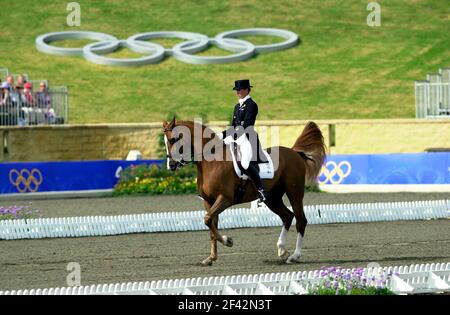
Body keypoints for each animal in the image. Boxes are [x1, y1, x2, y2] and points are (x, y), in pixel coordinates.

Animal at [163, 118, 326, 266]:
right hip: (272, 198)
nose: (171, 165)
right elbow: (211, 225)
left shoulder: (225, 198)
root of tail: (294, 152)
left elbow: (208, 220)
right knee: (287, 216)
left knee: (300, 220)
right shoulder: (209, 201)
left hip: (294, 192)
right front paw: (211, 258)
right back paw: (282, 251)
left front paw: (228, 241)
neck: (211, 162)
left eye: (172, 140)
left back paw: (294, 256)